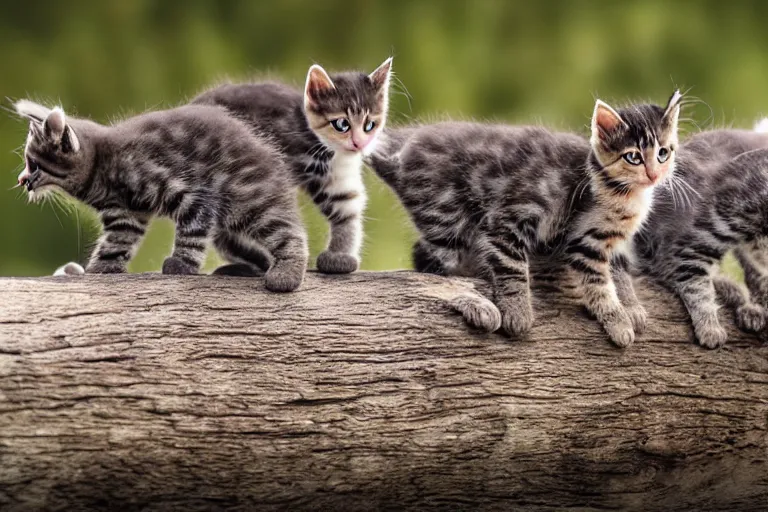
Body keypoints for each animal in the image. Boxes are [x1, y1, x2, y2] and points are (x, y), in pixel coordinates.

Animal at [13, 100, 308, 292]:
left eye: (34, 165)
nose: (21, 180)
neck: (100, 167)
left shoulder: (186, 194)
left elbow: (191, 232)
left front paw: (182, 265)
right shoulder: (125, 216)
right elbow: (114, 247)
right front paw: (96, 270)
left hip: (246, 198)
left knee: (289, 232)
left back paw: (286, 274)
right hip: (228, 235)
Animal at [191, 57, 392, 274]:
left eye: (369, 125)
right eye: (341, 124)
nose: (359, 143)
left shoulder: (338, 176)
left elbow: (347, 209)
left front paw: (340, 256)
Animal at [368, 92, 680, 348]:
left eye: (663, 153)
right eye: (633, 157)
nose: (654, 174)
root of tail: (400, 150)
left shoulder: (611, 241)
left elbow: (619, 271)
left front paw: (631, 306)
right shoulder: (523, 222)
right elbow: (517, 267)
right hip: (446, 215)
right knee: (431, 267)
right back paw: (478, 304)